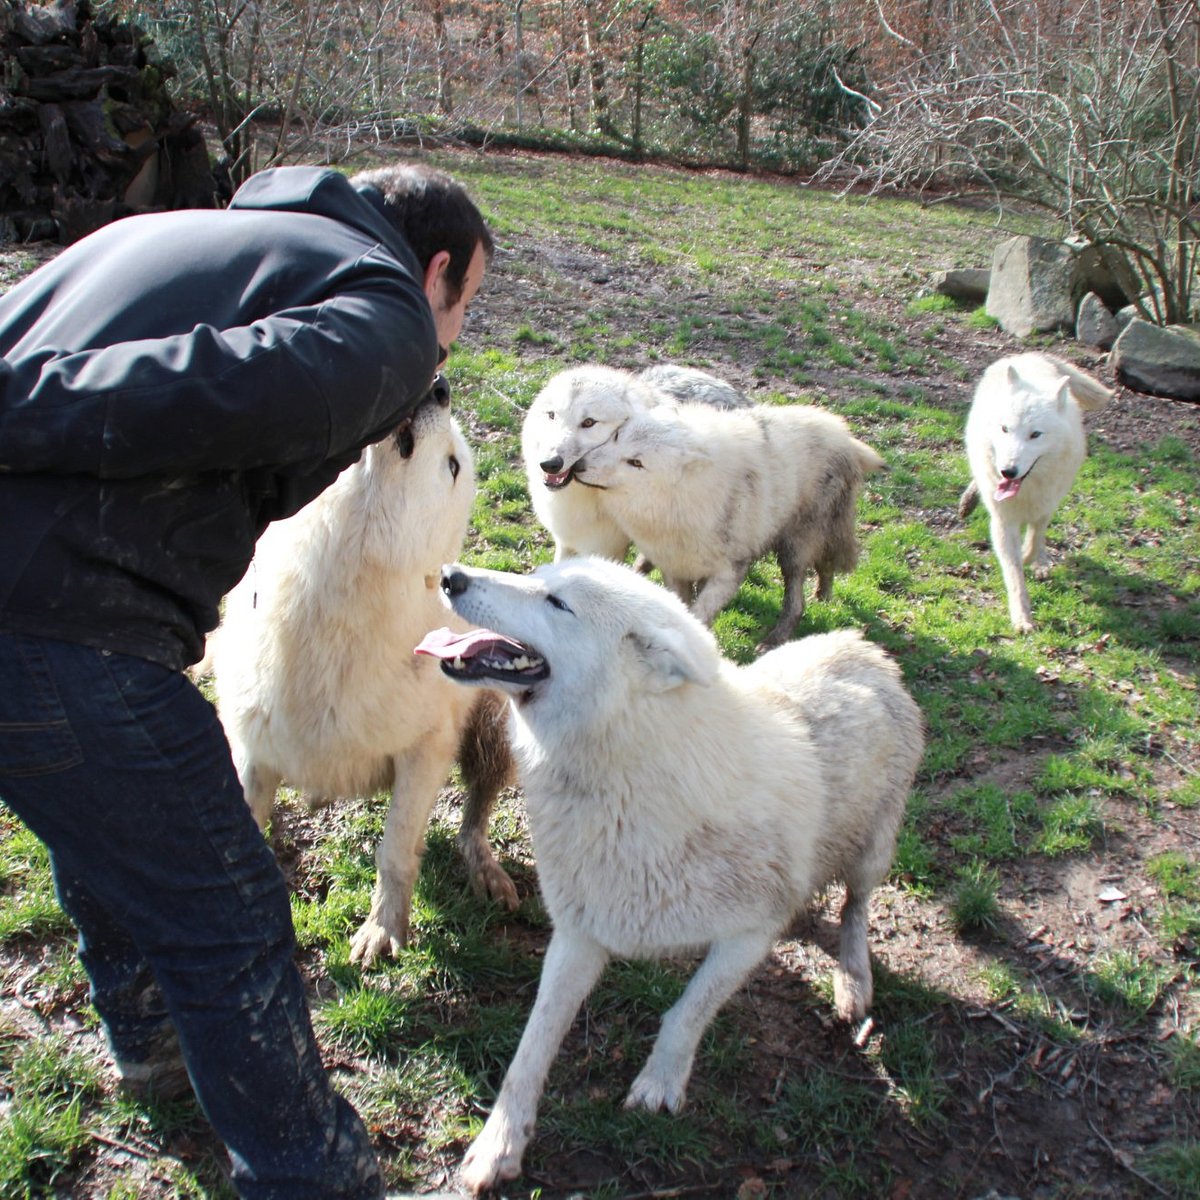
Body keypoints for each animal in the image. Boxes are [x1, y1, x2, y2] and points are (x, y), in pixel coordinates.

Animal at [212, 391, 520, 964]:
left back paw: (486, 869)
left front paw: (383, 927)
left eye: (452, 466)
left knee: (474, 817)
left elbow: (395, 848)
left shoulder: (425, 752)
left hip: (493, 721)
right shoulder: (251, 748)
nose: (440, 386)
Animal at [417, 552, 921, 1190]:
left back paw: (854, 983)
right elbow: (529, 1050)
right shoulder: (579, 933)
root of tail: (861, 646)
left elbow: (687, 1012)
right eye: (536, 576)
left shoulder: (750, 934)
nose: (449, 575)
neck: (626, 776)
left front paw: (659, 1084)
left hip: (873, 853)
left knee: (855, 909)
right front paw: (497, 1147)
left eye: (557, 603)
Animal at [576, 400, 888, 648]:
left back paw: (775, 639)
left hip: (793, 549)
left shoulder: (730, 572)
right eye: (616, 436)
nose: (578, 466)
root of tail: (845, 434)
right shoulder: (676, 566)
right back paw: (823, 595)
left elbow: (699, 614)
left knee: (798, 599)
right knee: (826, 564)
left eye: (636, 462)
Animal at [955, 350, 1113, 633]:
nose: (1008, 471)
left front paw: (1034, 559)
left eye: (1035, 434)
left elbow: (1035, 537)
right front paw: (1022, 618)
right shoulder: (1003, 520)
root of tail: (1027, 355)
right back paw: (968, 502)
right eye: (1005, 429)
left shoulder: (1046, 504)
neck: (1026, 490)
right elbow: (1014, 571)